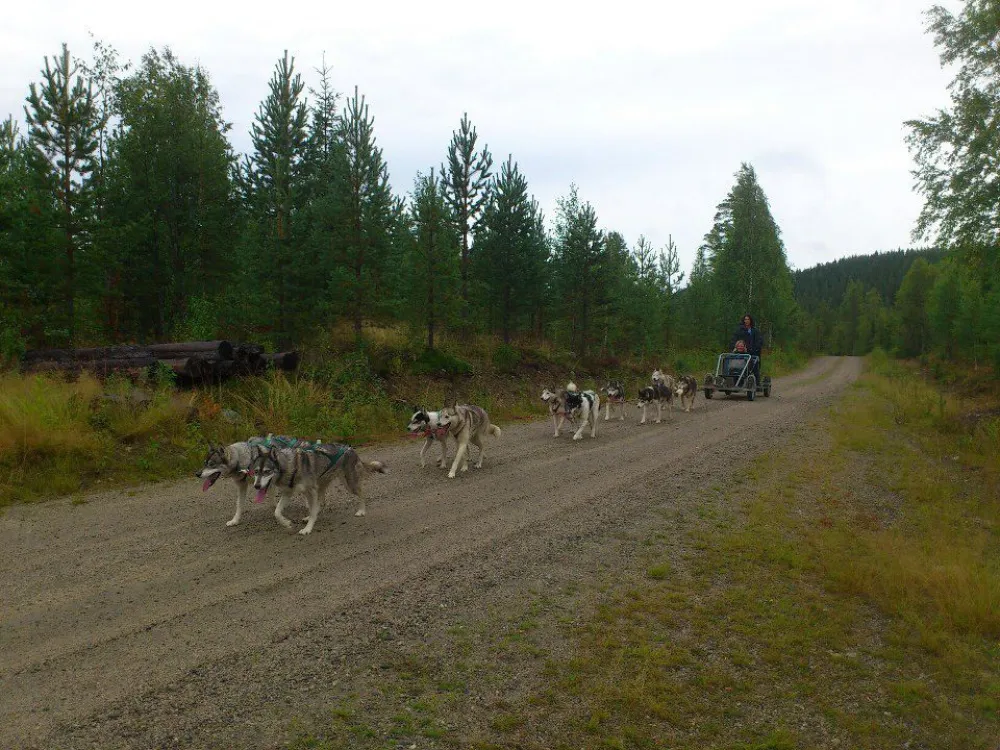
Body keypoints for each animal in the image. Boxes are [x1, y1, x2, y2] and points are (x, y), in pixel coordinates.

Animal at [250, 444, 386, 536]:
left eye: (267, 471)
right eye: (256, 471)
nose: (256, 486)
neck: (291, 466)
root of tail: (350, 448)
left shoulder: (310, 490)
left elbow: (312, 511)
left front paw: (308, 528)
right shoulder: (289, 493)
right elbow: (277, 512)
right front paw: (286, 523)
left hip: (349, 484)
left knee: (362, 493)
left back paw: (362, 510)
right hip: (319, 486)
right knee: (320, 503)